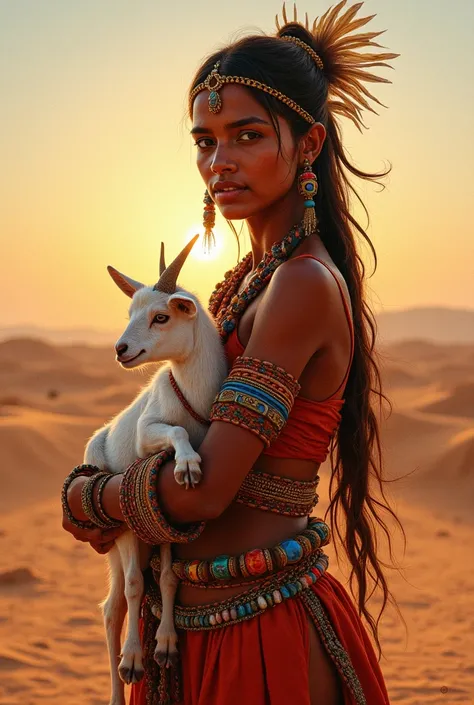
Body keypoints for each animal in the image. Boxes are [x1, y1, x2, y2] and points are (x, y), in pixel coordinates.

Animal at [83, 236, 226, 704]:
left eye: (161, 316)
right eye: (130, 313)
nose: (121, 350)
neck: (193, 397)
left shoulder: (171, 525)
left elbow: (167, 579)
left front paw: (165, 647)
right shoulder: (149, 435)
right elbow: (175, 431)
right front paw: (187, 466)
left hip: (147, 533)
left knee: (130, 593)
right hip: (122, 531)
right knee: (120, 598)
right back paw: (126, 670)